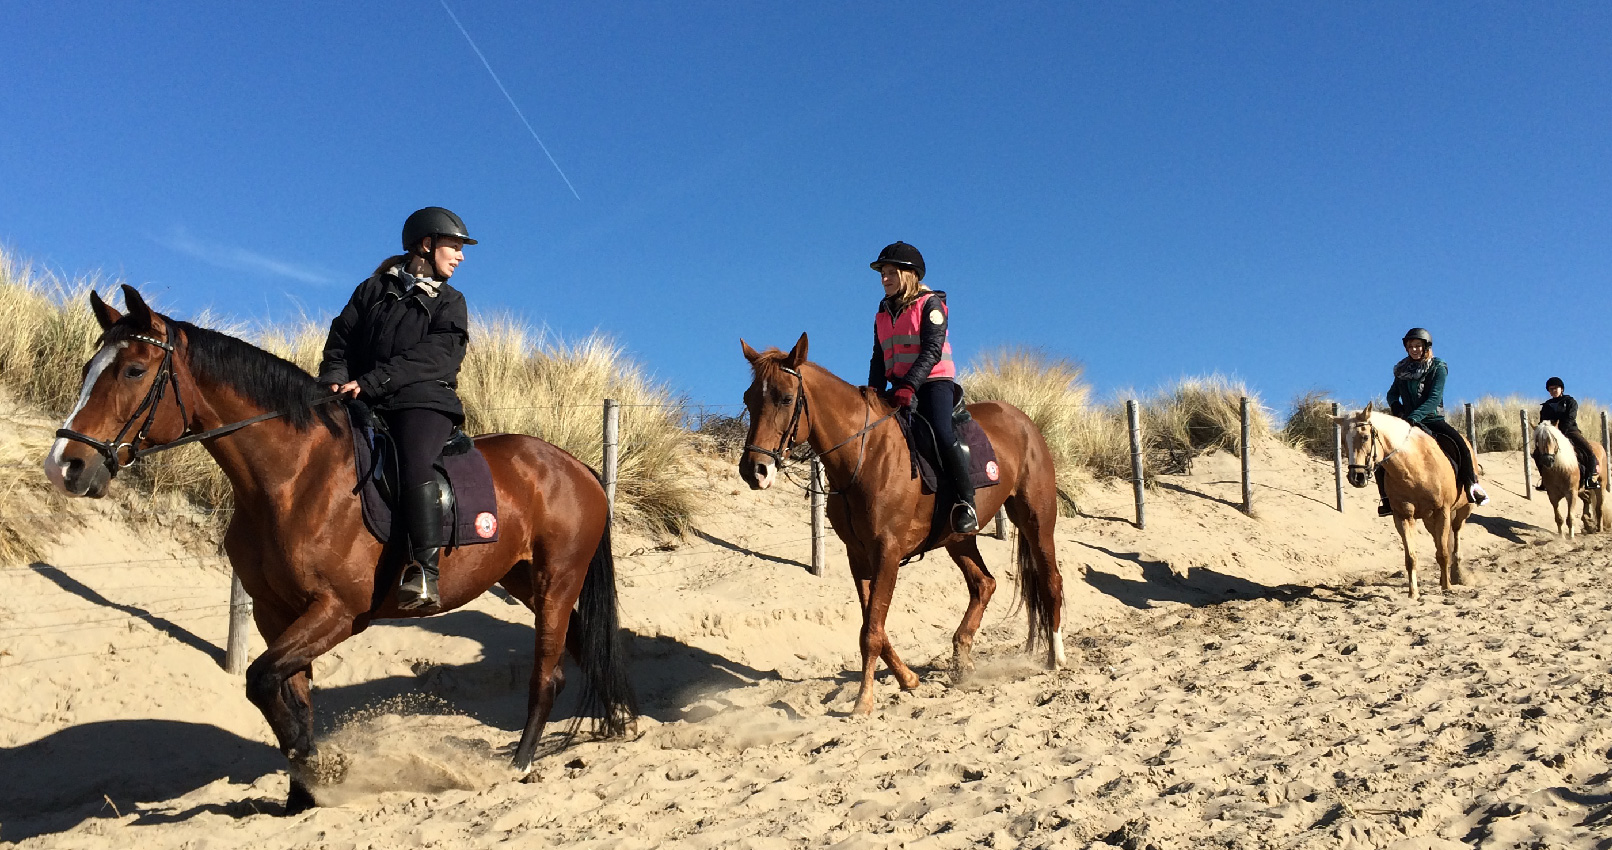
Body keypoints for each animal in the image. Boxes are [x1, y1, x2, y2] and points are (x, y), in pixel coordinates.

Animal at [44, 287, 635, 819]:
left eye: (133, 371)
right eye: (88, 368)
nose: (65, 465)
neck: (293, 477)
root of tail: (576, 467)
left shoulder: (339, 611)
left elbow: (262, 680)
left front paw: (319, 769)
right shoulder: (275, 613)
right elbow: (289, 695)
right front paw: (302, 793)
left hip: (556, 580)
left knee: (547, 675)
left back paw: (519, 762)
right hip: (525, 580)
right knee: (583, 648)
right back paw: (621, 720)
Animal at [741, 335, 1070, 716]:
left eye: (785, 397)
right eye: (749, 398)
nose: (754, 471)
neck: (864, 454)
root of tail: (1024, 420)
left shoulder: (888, 552)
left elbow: (871, 631)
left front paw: (864, 701)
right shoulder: (859, 556)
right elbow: (873, 625)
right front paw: (908, 679)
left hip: (1036, 519)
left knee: (1051, 580)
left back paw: (1055, 657)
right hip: (958, 537)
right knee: (984, 584)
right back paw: (962, 659)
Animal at [1334, 406, 1476, 600]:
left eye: (1365, 437)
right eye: (1343, 441)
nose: (1357, 477)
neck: (1414, 468)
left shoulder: (1442, 511)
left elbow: (1443, 553)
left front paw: (1447, 588)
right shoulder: (1403, 517)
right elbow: (1411, 558)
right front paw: (1413, 593)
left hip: (1462, 510)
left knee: (1455, 534)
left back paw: (1456, 575)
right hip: (1429, 519)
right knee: (1440, 541)